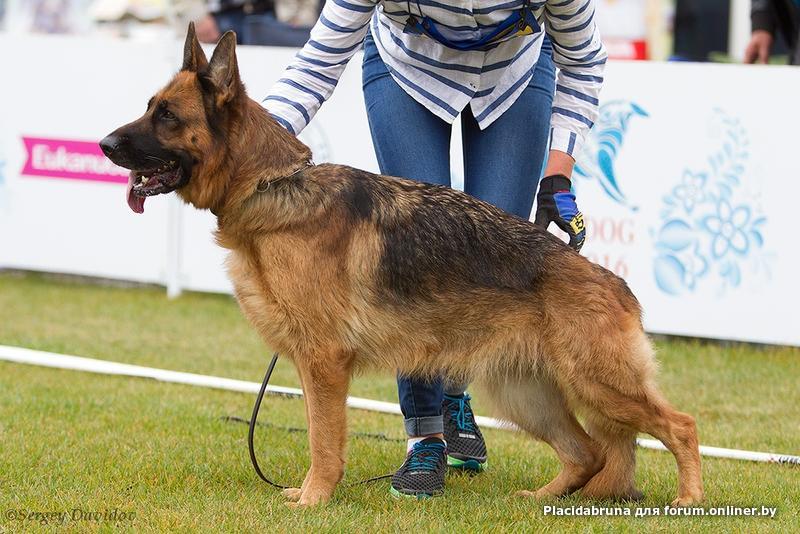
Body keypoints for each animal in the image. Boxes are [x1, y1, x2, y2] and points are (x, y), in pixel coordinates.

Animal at [98, 26, 700, 510]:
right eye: (149, 107)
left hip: (598, 385)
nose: (103, 144)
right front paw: (312, 493)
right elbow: (319, 433)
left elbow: (323, 440)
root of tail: (613, 282)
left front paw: (315, 499)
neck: (271, 185)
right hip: (524, 394)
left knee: (679, 427)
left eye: (167, 117)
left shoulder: (324, 363)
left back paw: (688, 498)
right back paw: (543, 498)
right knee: (589, 452)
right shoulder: (313, 366)